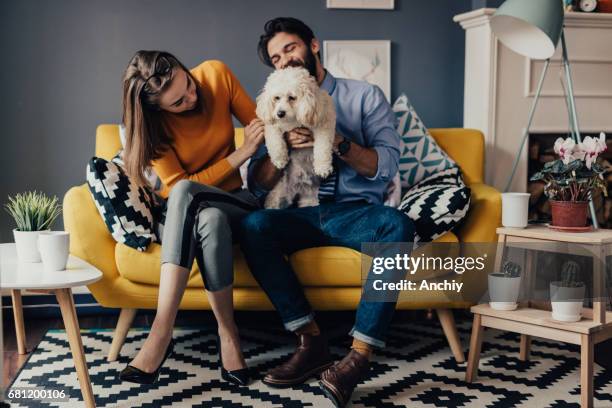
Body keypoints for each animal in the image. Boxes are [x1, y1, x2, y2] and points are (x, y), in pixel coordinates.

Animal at [256, 66, 338, 209]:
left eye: (292, 98)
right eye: (276, 98)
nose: (280, 113)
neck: (293, 120)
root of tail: (300, 187)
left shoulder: (324, 124)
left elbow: (323, 147)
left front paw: (323, 167)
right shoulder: (272, 126)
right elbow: (275, 140)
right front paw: (280, 159)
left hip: (311, 198)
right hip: (278, 194)